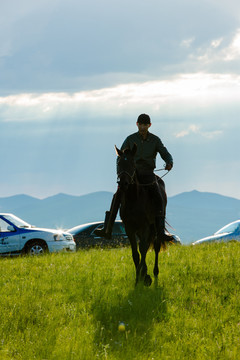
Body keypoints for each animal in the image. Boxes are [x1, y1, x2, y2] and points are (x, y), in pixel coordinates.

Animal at [115, 143, 168, 286]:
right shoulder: (129, 228)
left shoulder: (145, 226)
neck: (134, 199)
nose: (123, 183)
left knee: (156, 246)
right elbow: (135, 253)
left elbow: (143, 249)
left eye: (133, 163)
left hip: (155, 226)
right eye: (118, 163)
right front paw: (139, 278)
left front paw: (142, 277)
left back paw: (155, 272)